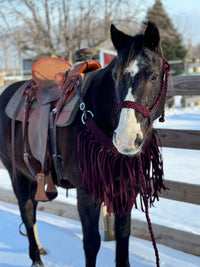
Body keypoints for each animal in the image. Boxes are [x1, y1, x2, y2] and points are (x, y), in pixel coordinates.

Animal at [0, 22, 169, 266]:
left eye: (155, 76)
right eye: (116, 77)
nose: (126, 139)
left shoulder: (124, 188)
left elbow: (123, 234)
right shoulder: (87, 192)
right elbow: (91, 242)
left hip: (34, 178)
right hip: (17, 175)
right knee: (28, 212)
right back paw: (35, 258)